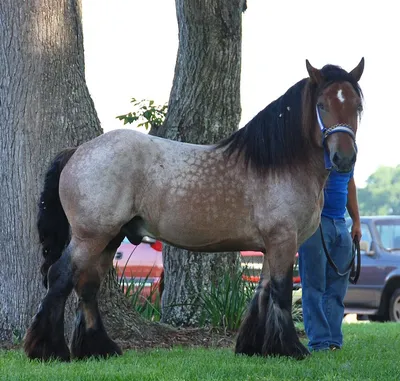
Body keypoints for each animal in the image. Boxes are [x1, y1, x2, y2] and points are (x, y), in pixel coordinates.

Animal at [23, 58, 364, 360]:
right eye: (322, 105)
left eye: (357, 107)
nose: (344, 159)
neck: (278, 164)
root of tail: (78, 151)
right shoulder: (283, 240)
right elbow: (280, 291)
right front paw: (292, 349)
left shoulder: (271, 246)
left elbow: (263, 292)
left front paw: (255, 347)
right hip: (90, 236)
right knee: (61, 276)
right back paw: (49, 350)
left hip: (109, 238)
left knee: (87, 285)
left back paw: (99, 349)